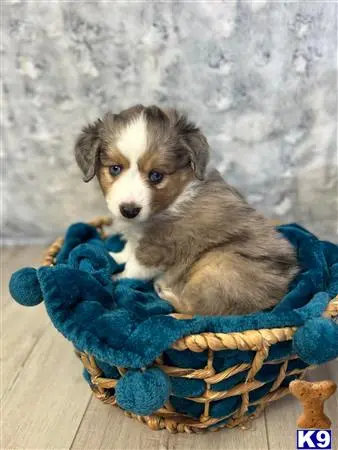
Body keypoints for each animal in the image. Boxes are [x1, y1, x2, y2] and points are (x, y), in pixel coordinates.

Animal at [75, 105, 298, 316]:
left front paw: (116, 277)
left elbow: (134, 268)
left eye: (156, 175)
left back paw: (165, 292)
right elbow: (129, 249)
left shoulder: (159, 247)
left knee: (200, 309)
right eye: (115, 169)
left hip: (218, 264)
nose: (129, 210)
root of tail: (277, 295)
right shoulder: (138, 237)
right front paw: (114, 256)